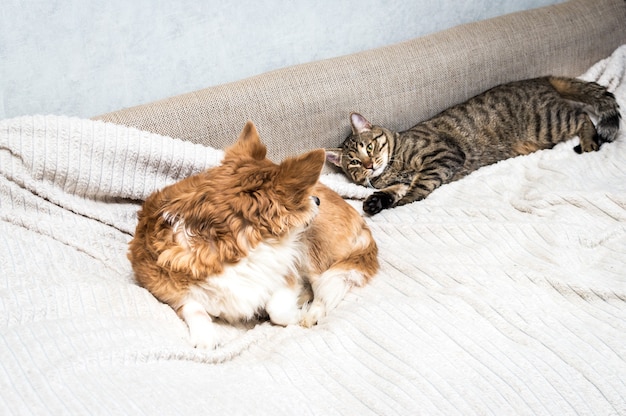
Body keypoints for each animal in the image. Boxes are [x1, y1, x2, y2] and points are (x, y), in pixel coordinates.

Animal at [326, 76, 620, 216]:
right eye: (354, 163)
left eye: (369, 148)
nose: (368, 165)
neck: (393, 167)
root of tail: (541, 79)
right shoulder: (400, 180)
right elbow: (391, 191)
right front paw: (376, 201)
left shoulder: (442, 155)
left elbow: (420, 185)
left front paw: (406, 200)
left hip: (551, 122)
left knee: (582, 117)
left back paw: (589, 141)